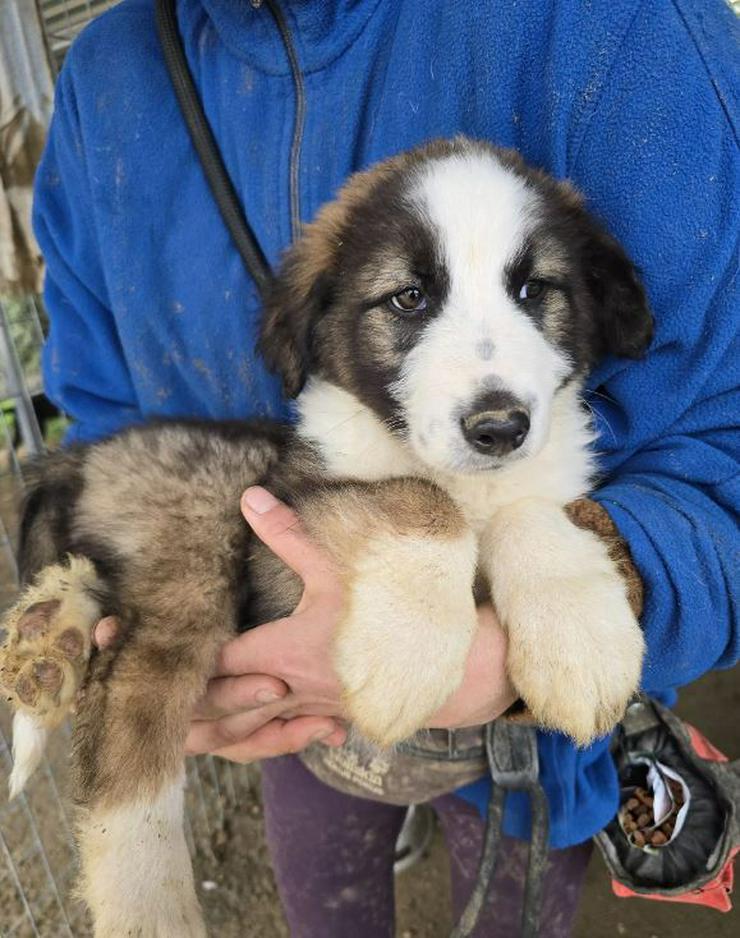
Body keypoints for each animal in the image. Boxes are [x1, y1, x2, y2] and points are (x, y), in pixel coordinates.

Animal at [0, 135, 652, 932]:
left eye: (534, 290)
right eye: (409, 298)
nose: (499, 428)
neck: (472, 481)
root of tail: (84, 455)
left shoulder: (554, 492)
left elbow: (533, 513)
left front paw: (581, 642)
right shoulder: (294, 504)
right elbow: (416, 496)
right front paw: (408, 655)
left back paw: (50, 637)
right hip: (210, 525)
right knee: (129, 712)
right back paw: (143, 899)